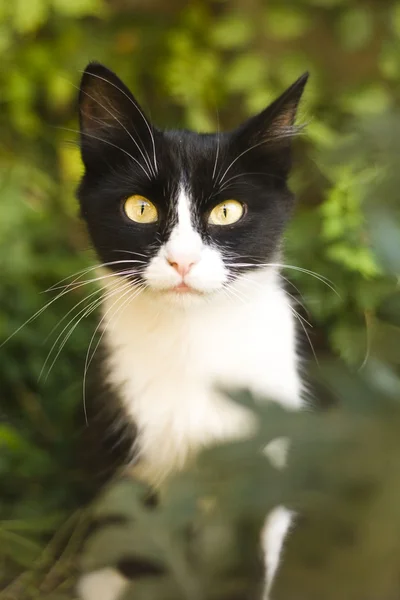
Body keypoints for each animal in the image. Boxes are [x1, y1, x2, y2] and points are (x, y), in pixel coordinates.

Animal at [76, 62, 310, 600]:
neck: (193, 340)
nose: (182, 260)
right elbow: (144, 544)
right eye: (140, 208)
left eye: (227, 211)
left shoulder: (267, 439)